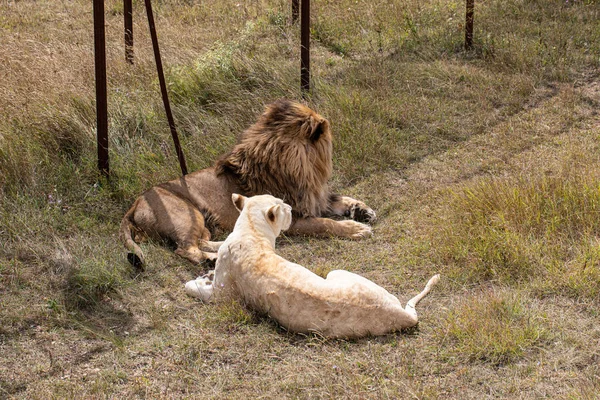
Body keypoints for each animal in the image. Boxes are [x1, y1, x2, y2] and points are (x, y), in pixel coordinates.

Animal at [119, 100, 376, 268]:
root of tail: (134, 204)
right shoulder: (291, 220)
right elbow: (324, 223)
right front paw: (355, 229)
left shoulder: (315, 196)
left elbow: (340, 199)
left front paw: (362, 211)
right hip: (186, 214)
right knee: (184, 248)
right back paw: (211, 260)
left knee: (200, 240)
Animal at [184, 194, 440, 338]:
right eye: (283, 206)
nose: (291, 207)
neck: (251, 230)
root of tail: (402, 316)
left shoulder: (223, 297)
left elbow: (195, 289)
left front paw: (198, 280)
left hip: (335, 271)